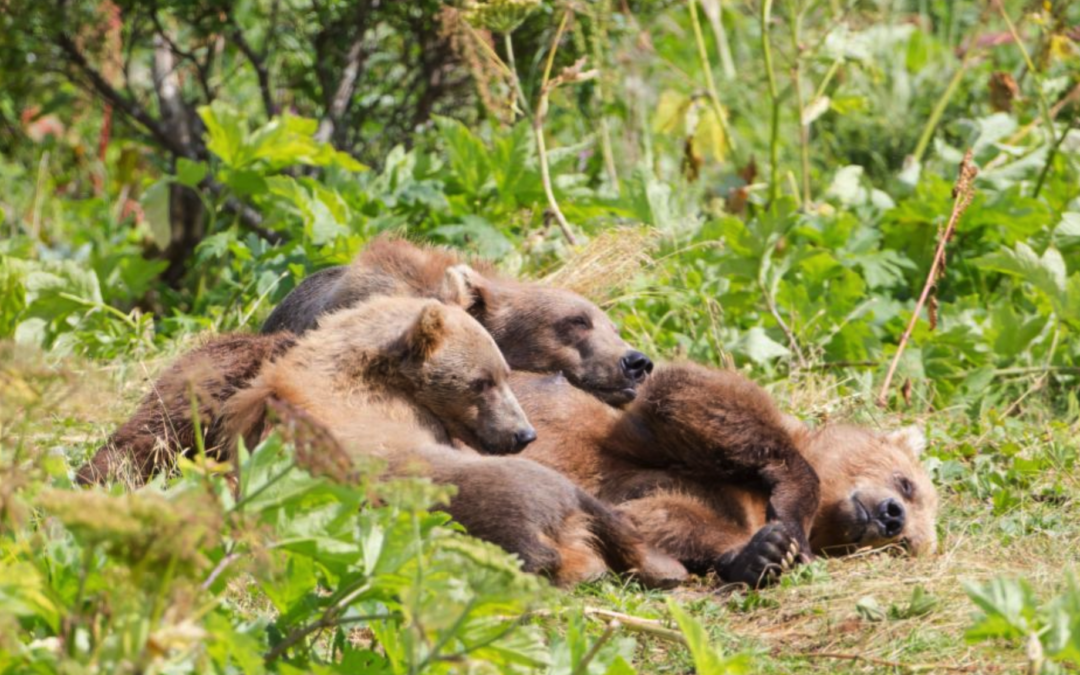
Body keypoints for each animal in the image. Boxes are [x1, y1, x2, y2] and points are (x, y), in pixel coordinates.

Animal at [514, 362, 937, 583]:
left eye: (906, 546)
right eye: (906, 483)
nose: (893, 518)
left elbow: (656, 515)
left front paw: (765, 551)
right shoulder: (642, 436)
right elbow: (692, 391)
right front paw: (789, 519)